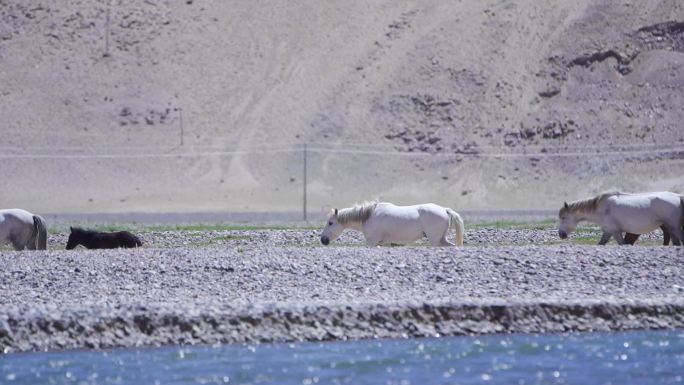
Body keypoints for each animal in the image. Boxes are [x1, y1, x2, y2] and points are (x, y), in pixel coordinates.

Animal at [320, 201, 464, 246]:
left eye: (330, 223)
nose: (323, 239)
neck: (369, 216)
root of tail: (445, 209)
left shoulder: (371, 242)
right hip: (441, 239)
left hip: (434, 240)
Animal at [556, 190, 684, 244]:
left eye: (563, 217)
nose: (561, 234)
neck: (601, 208)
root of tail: (678, 196)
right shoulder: (608, 232)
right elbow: (601, 243)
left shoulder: (615, 231)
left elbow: (622, 244)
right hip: (670, 228)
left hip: (674, 228)